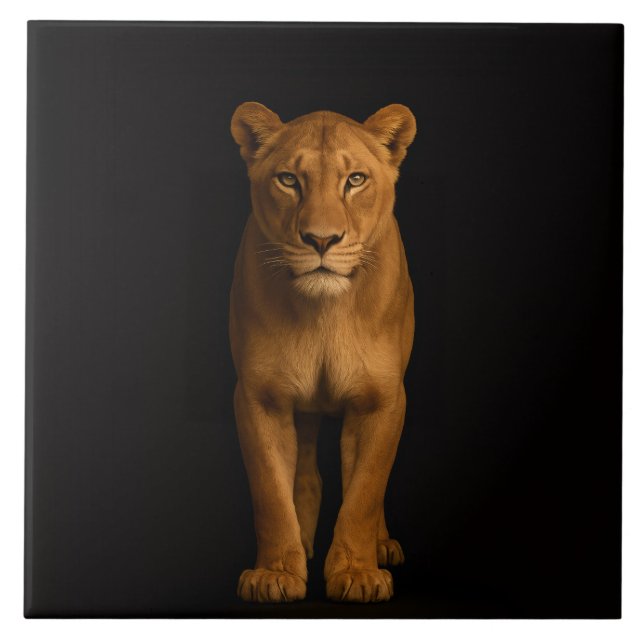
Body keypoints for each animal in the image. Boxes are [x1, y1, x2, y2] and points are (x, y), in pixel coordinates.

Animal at [229, 102, 416, 603]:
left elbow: (365, 491)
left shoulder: (382, 400)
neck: (324, 314)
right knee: (307, 475)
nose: (321, 239)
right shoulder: (259, 397)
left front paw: (358, 573)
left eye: (355, 179)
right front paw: (275, 573)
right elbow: (271, 492)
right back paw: (305, 545)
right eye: (288, 180)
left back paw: (382, 546)